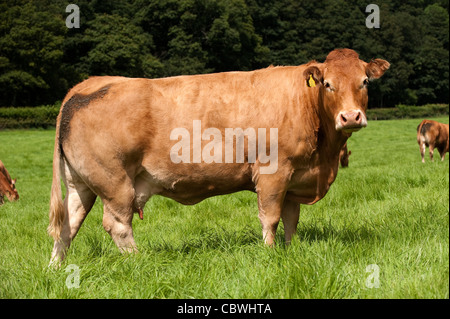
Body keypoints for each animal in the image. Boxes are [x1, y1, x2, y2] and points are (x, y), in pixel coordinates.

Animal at [47, 48, 388, 266]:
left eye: (364, 82)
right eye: (328, 84)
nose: (351, 117)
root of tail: (86, 85)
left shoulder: (296, 178)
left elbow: (291, 220)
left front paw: (290, 250)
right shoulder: (273, 172)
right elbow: (270, 218)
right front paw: (270, 255)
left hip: (81, 183)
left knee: (68, 225)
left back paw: (56, 268)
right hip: (114, 182)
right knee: (117, 224)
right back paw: (138, 262)